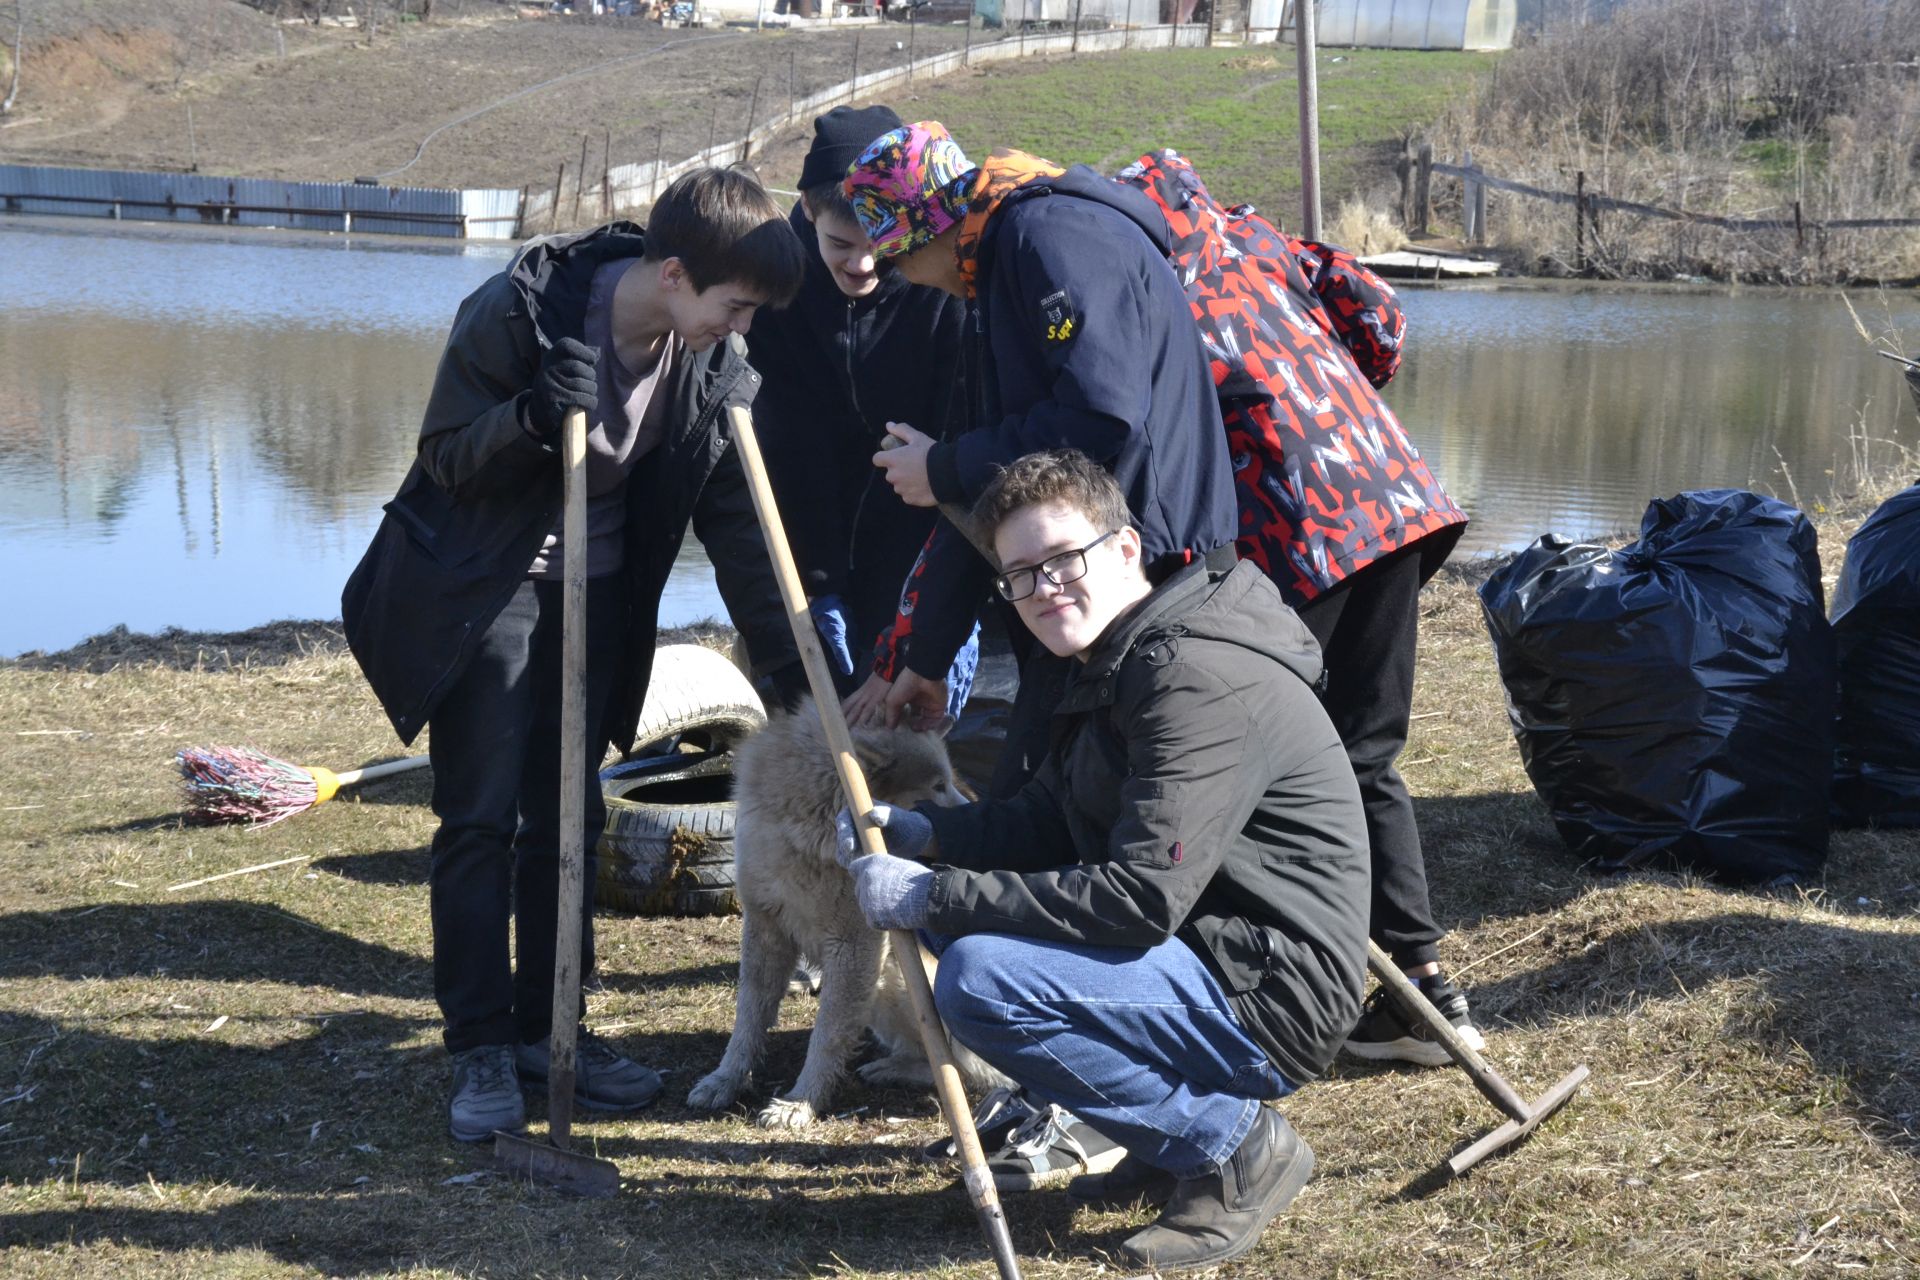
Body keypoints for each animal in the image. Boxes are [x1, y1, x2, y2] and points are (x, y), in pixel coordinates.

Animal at [687, 702, 1013, 1128]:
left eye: (947, 781)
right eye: (937, 786)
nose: (977, 815)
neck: (810, 827)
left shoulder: (855, 947)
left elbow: (827, 1036)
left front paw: (801, 1101)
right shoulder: (764, 928)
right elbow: (748, 1020)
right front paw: (726, 1080)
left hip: (895, 977)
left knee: (958, 1068)